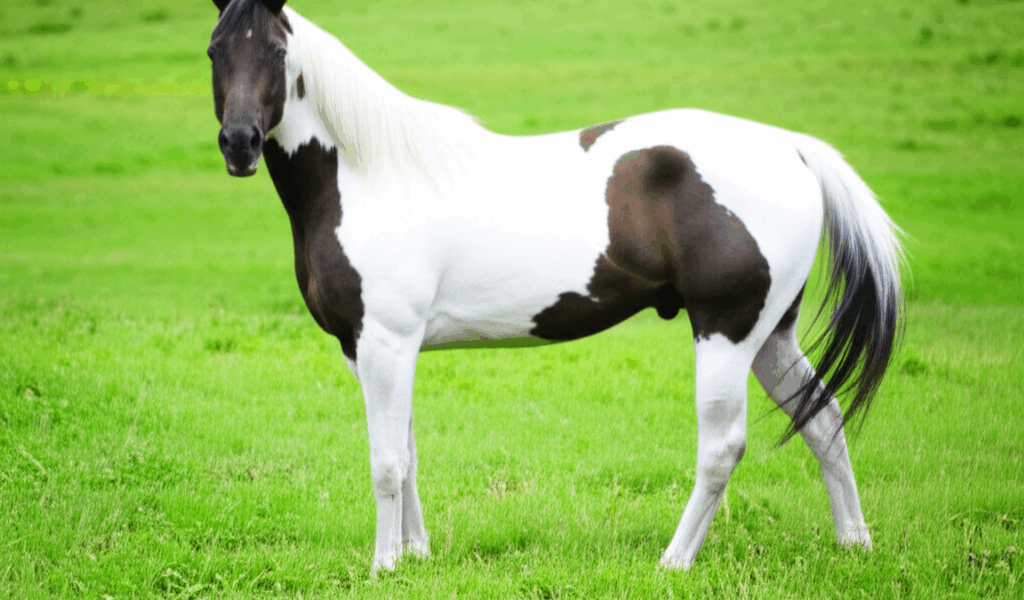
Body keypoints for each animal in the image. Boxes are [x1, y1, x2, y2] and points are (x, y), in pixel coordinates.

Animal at [207, 0, 903, 571]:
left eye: (275, 52)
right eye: (215, 49)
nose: (239, 144)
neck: (370, 173)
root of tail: (790, 147)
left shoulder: (385, 343)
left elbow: (385, 463)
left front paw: (384, 566)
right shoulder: (373, 350)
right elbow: (406, 454)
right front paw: (416, 554)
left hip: (725, 332)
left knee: (722, 446)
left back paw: (673, 562)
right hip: (769, 336)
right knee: (823, 418)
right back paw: (853, 542)